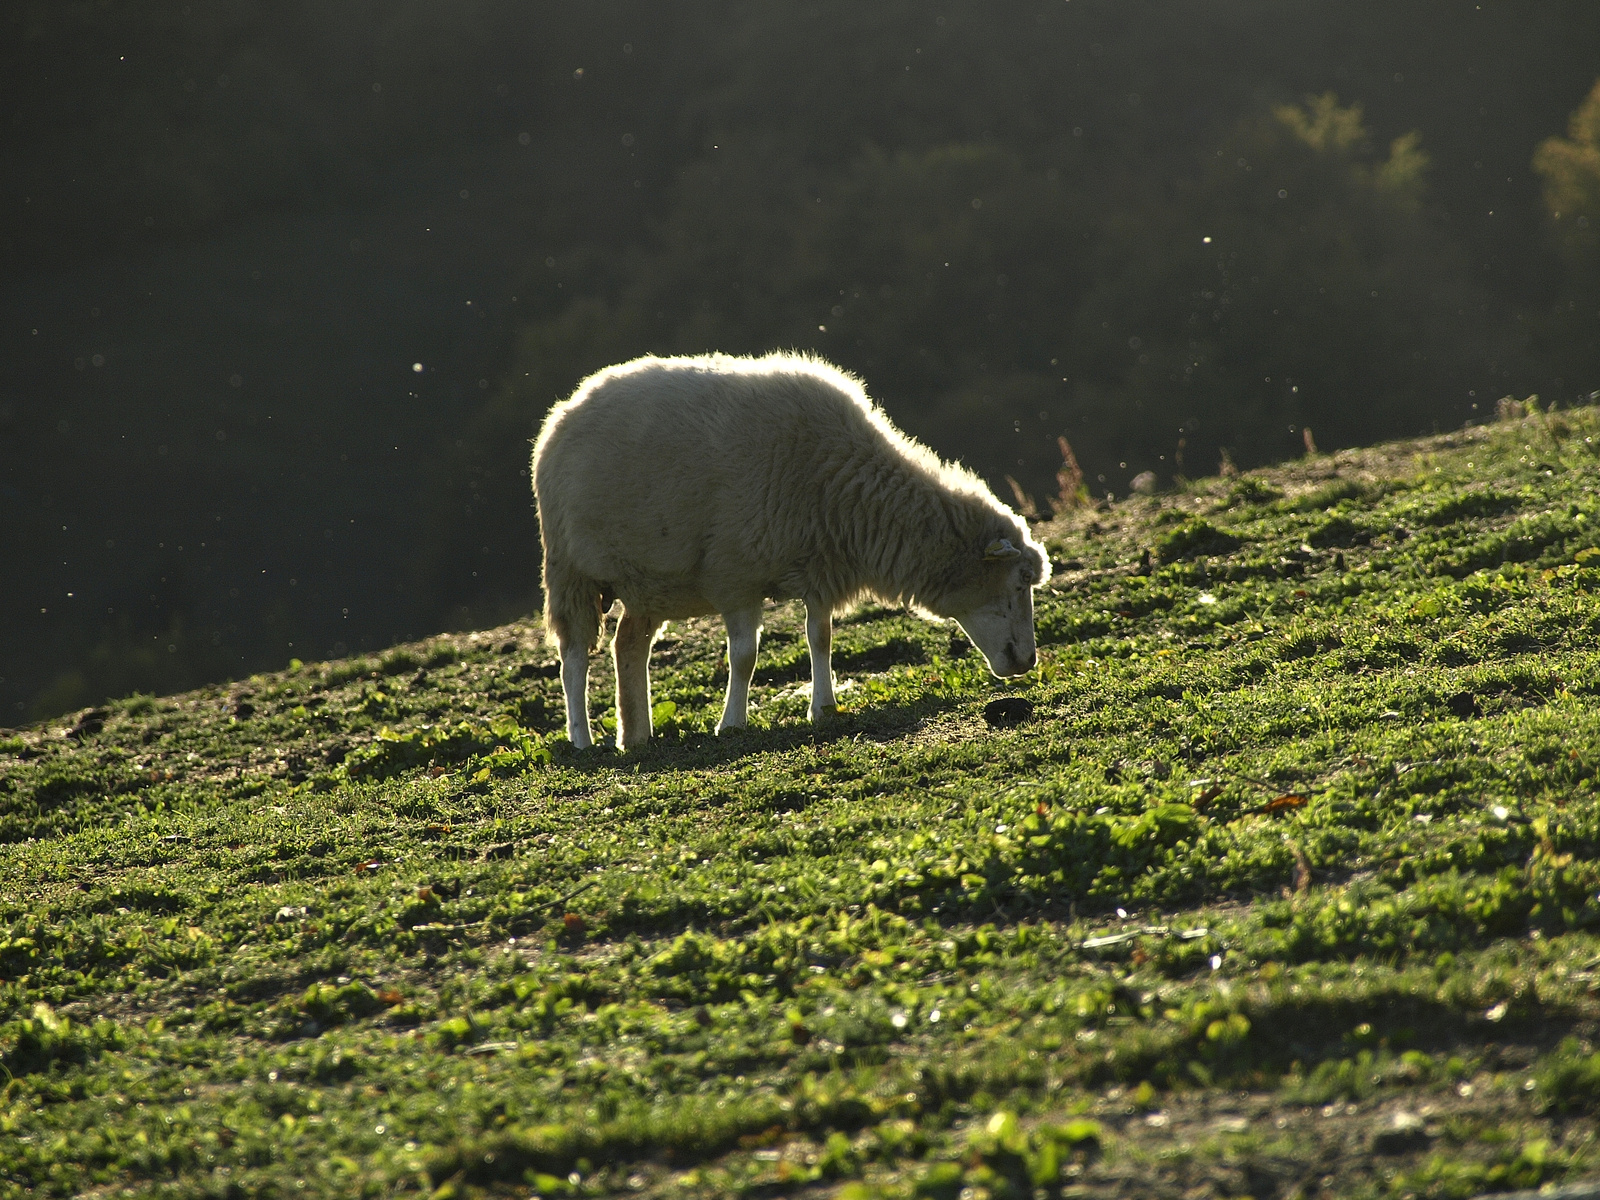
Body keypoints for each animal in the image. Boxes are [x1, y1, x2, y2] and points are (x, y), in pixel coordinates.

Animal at [531, 350, 1043, 752]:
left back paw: (637, 736)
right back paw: (582, 739)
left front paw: (824, 707)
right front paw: (731, 724)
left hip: (648, 582)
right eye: (1019, 583)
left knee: (628, 646)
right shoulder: (736, 575)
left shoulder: (818, 567)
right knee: (573, 659)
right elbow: (744, 657)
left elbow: (821, 638)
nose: (1027, 663)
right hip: (570, 570)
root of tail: (565, 409)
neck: (840, 485)